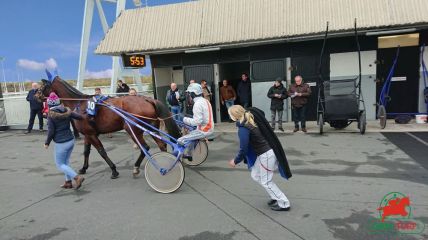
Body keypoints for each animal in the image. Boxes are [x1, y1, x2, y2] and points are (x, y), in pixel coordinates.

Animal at [34, 72, 180, 179]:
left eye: (41, 87)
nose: (35, 96)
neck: (79, 104)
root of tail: (147, 99)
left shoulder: (92, 134)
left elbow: (102, 152)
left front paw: (114, 170)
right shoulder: (88, 134)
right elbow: (86, 151)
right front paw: (83, 168)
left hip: (132, 129)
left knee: (145, 147)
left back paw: (136, 167)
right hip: (150, 128)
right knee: (161, 144)